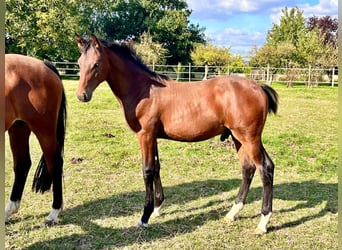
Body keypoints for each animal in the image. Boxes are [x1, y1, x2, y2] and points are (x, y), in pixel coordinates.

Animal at [4, 53, 66, 226]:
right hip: (18, 127)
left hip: (43, 130)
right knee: (22, 165)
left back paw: (53, 214)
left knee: (55, 164)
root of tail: (43, 64)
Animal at [74, 34, 278, 233]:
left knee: (265, 168)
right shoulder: (153, 137)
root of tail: (259, 87)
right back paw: (233, 212)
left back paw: (263, 222)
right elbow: (156, 167)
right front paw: (157, 208)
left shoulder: (145, 135)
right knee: (248, 168)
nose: (81, 96)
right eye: (79, 63)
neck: (143, 90)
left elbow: (147, 171)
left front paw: (145, 216)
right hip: (238, 138)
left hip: (249, 138)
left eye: (96, 64)